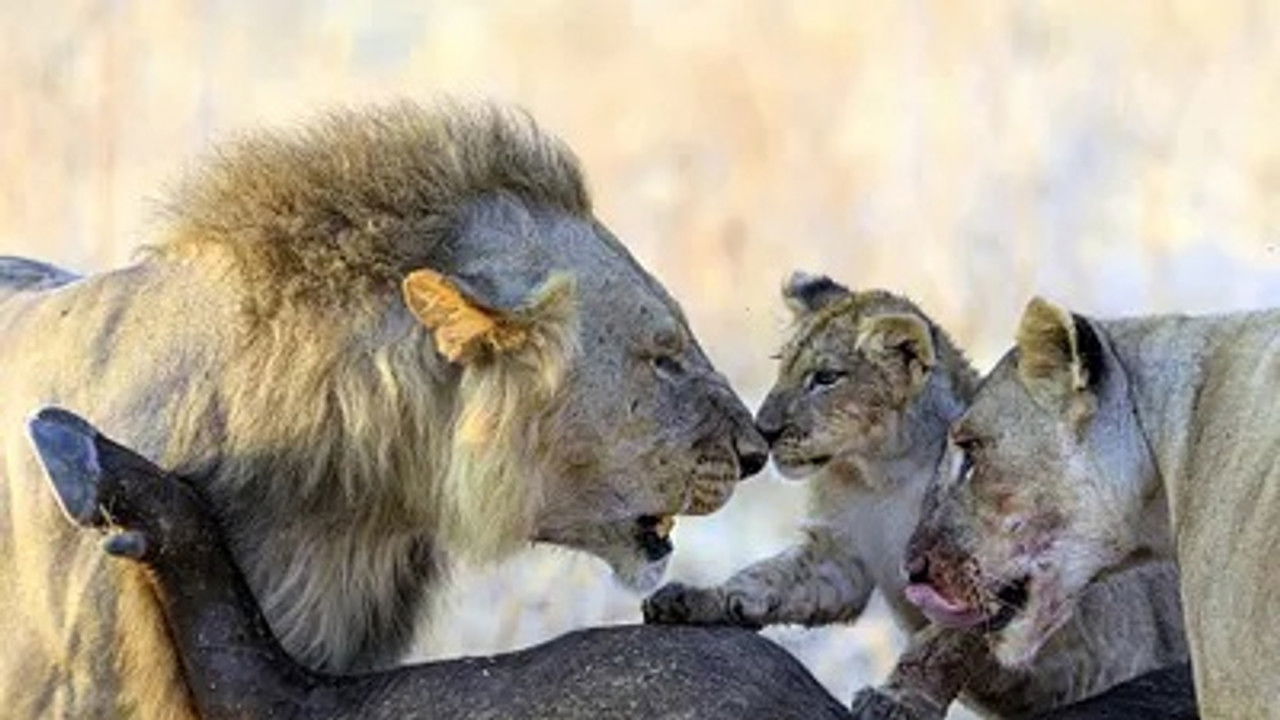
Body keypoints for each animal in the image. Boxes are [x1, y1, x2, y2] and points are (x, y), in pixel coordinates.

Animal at [644, 274, 1188, 718]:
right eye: (783, 367)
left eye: (826, 377)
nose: (766, 429)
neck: (882, 473)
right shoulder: (839, 557)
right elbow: (767, 579)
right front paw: (698, 598)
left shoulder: (997, 568)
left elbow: (938, 645)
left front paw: (895, 701)